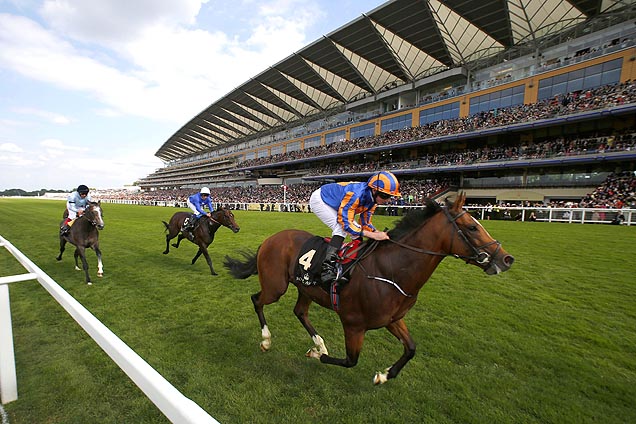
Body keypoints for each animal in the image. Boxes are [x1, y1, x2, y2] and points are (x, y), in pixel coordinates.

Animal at [224, 194, 512, 386]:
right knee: (257, 300)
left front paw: (383, 375)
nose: (506, 259)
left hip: (306, 289)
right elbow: (351, 360)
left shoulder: (393, 319)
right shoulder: (353, 324)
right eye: (472, 227)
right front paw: (316, 355)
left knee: (300, 312)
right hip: (276, 287)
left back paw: (319, 342)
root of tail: (270, 239)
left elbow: (411, 348)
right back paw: (267, 340)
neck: (391, 269)